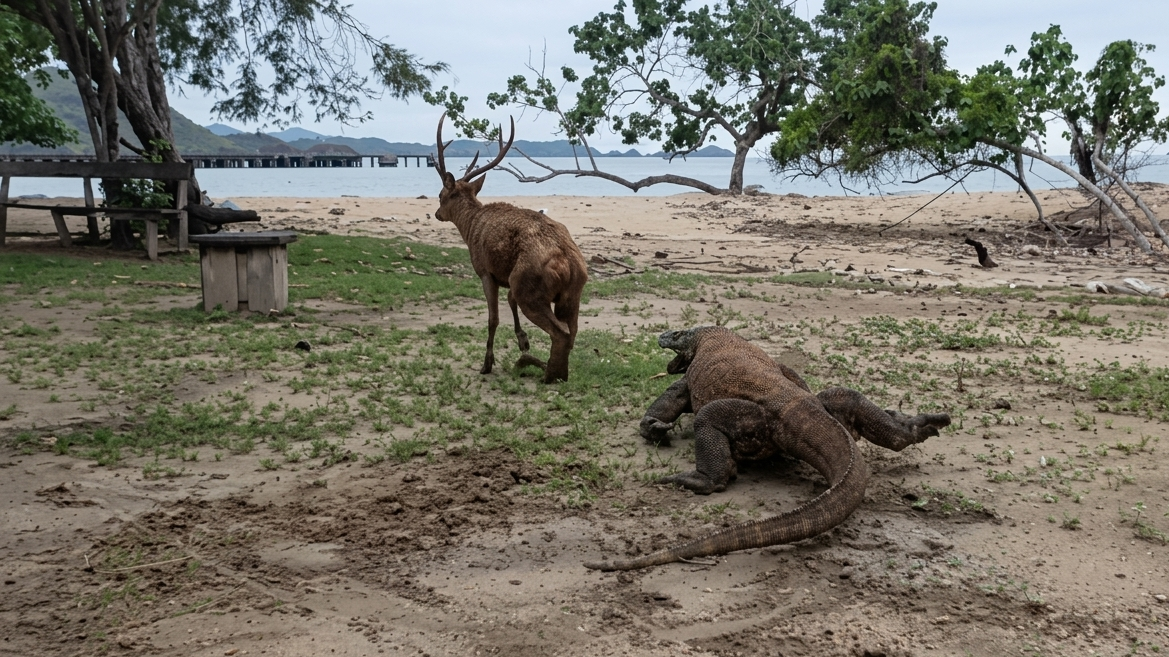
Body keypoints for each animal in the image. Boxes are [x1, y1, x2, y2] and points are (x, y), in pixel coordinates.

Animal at [434, 114, 588, 383]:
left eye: (441, 194)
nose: (436, 213)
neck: (469, 227)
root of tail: (568, 264)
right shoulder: (507, 277)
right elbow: (509, 301)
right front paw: (523, 341)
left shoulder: (485, 271)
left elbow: (493, 318)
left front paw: (487, 363)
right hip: (572, 293)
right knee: (573, 330)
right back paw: (552, 370)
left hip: (529, 285)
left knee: (561, 332)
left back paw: (547, 373)